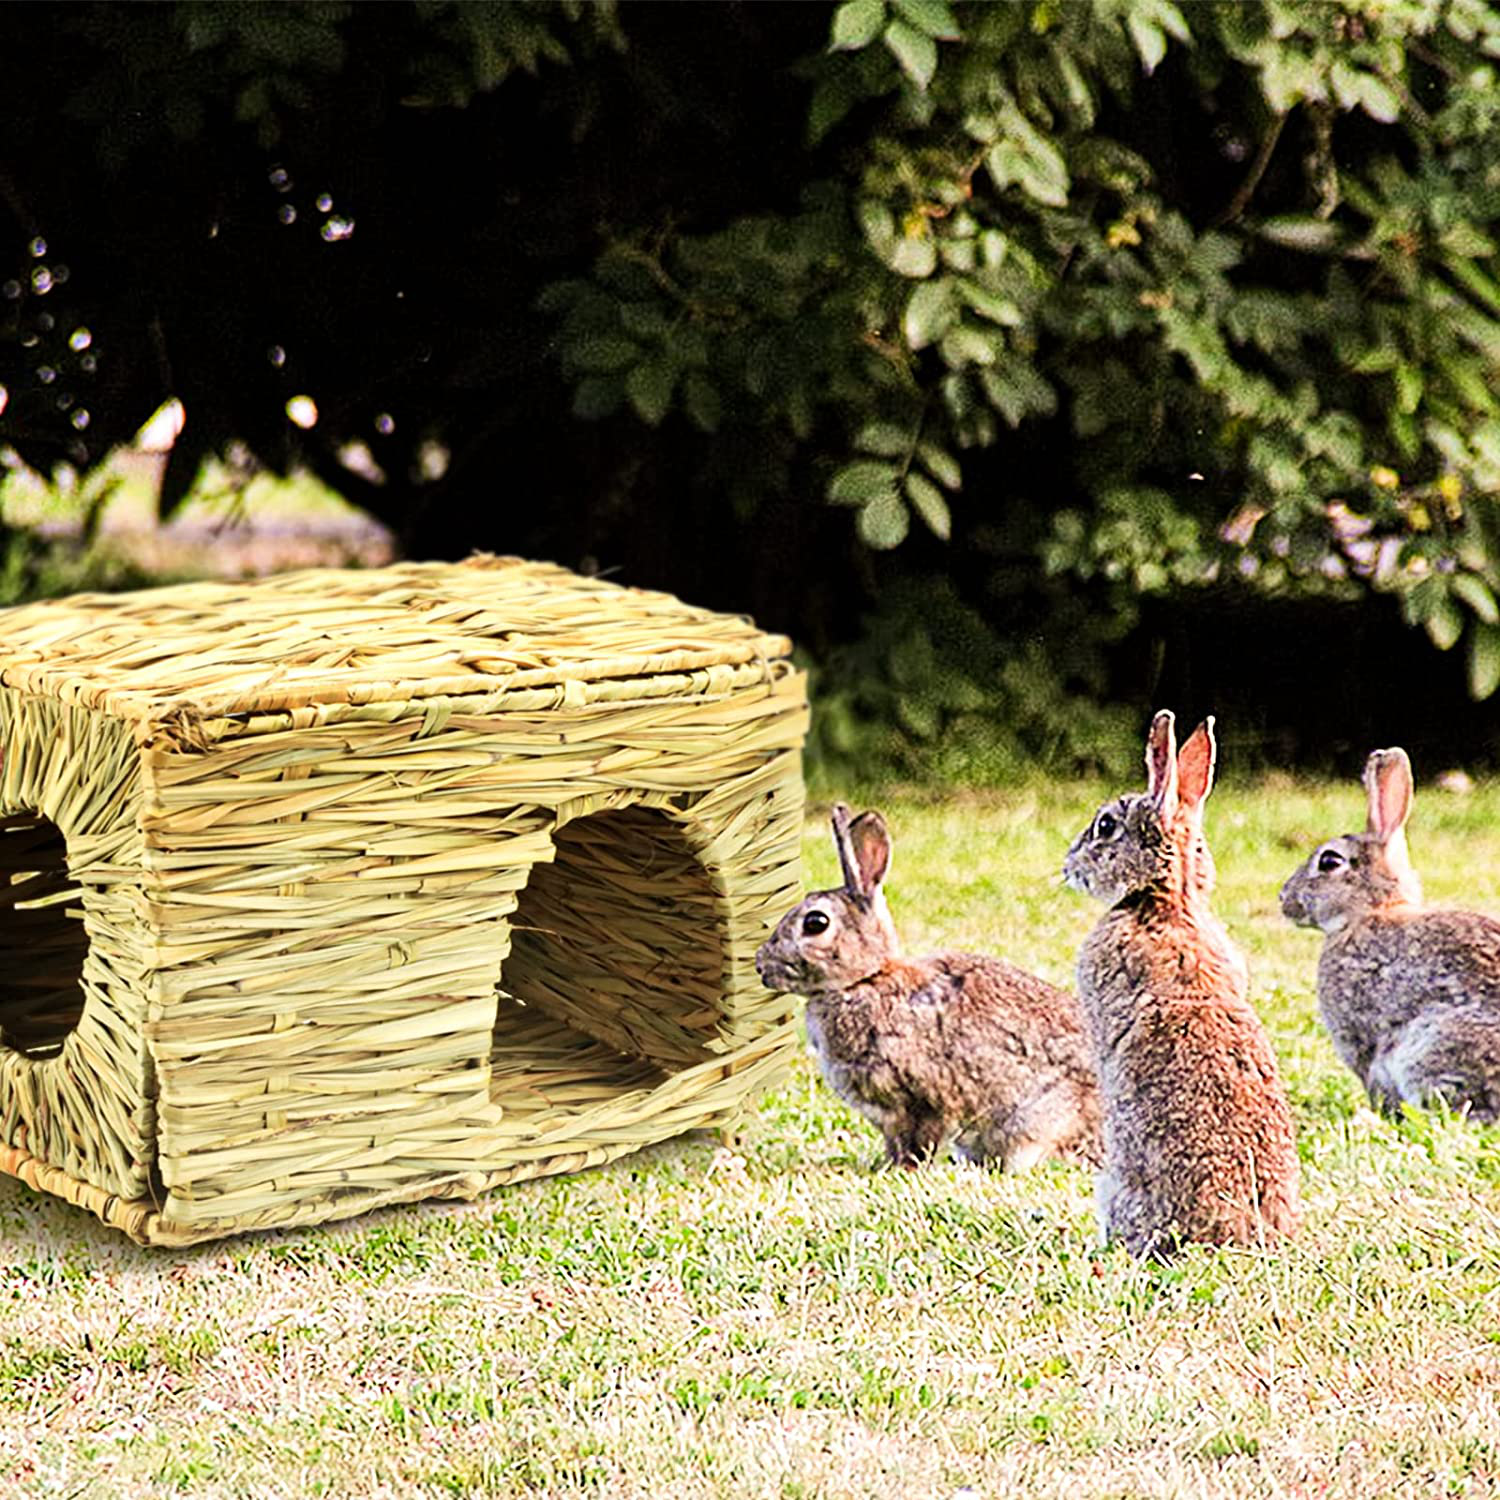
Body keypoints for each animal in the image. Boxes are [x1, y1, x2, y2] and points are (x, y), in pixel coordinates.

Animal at [754, 803, 1102, 1172]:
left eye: (816, 923)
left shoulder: (921, 1098)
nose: (761, 966)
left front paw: (901, 1169)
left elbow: (919, 1139)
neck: (865, 979)